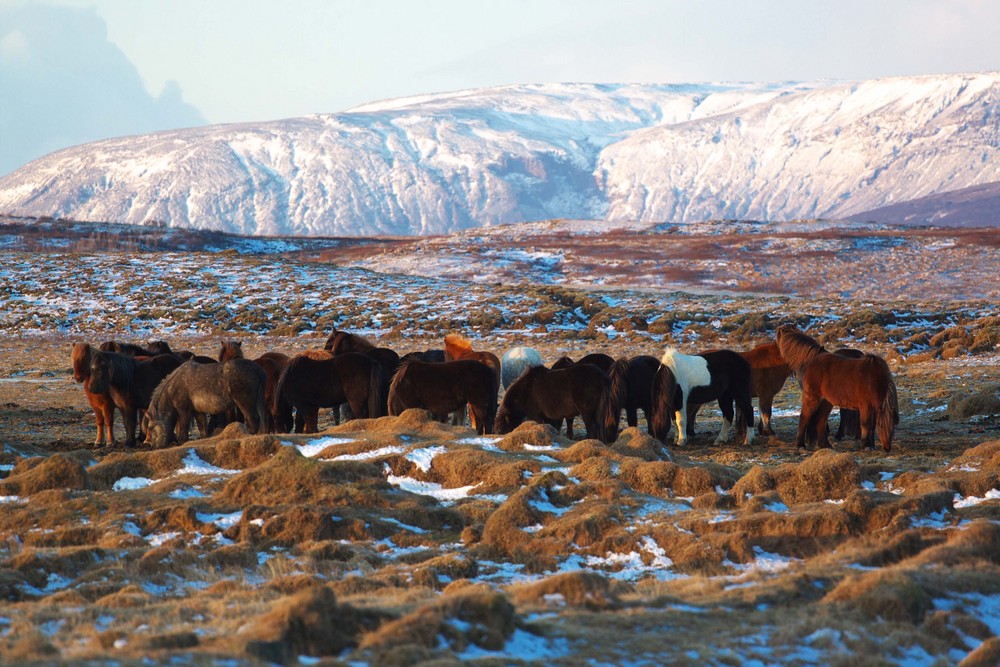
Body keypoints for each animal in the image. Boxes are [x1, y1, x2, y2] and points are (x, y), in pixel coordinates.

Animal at [772, 324, 900, 452]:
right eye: (882, 425)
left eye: (893, 425)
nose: (887, 448)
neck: (873, 379)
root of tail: (813, 361)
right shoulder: (865, 405)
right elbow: (866, 424)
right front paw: (865, 445)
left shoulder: (873, 406)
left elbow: (871, 426)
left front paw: (871, 445)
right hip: (812, 398)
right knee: (804, 418)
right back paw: (801, 445)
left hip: (826, 401)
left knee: (821, 420)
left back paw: (825, 444)